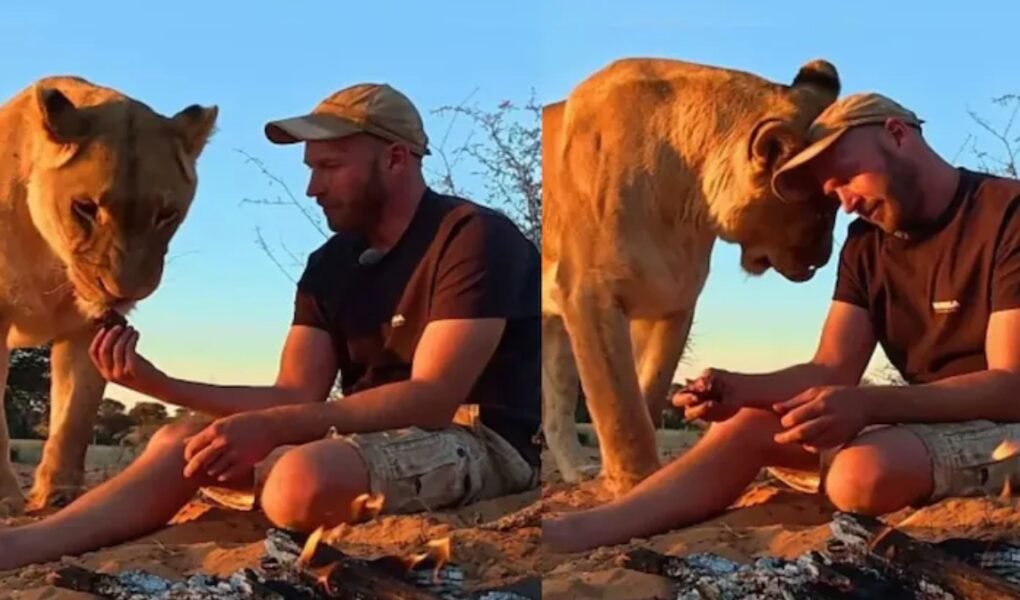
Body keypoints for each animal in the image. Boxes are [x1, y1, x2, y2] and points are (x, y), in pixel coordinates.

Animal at [0, 76, 217, 513]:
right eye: (84, 207)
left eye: (165, 214)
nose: (124, 292)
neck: (50, 259)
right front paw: (6, 501)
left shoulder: (86, 329)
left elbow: (75, 416)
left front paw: (59, 494)